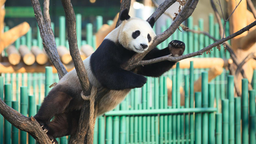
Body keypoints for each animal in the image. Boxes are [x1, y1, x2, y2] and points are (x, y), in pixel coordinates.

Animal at [35, 9, 185, 141]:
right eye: (136, 33)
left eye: (148, 36)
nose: (143, 45)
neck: (129, 51)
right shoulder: (109, 47)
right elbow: (106, 72)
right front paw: (140, 80)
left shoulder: (143, 56)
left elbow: (155, 66)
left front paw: (176, 47)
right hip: (71, 87)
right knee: (56, 100)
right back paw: (41, 123)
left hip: (76, 114)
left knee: (65, 124)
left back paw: (51, 132)